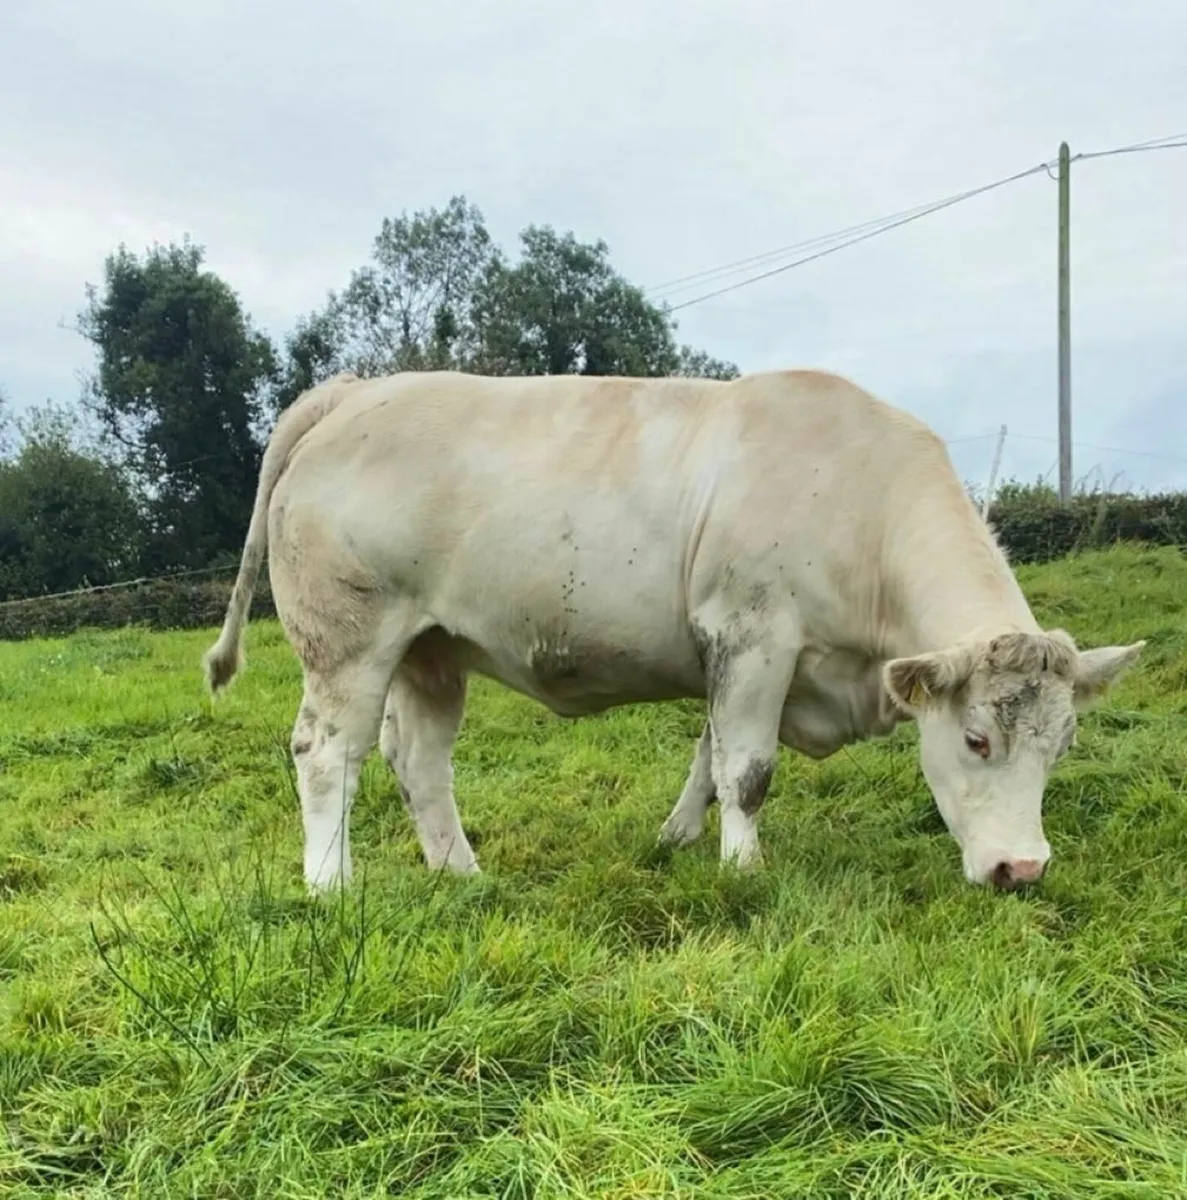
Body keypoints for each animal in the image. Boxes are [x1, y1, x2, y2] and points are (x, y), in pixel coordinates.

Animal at [202, 367, 1144, 895]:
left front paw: (677, 840)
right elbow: (748, 771)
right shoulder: (756, 634)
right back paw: (331, 886)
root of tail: (357, 390)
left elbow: (708, 756)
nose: (1022, 870)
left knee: (418, 762)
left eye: (1062, 746)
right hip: (349, 642)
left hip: (430, 649)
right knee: (328, 753)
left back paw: (462, 876)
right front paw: (742, 872)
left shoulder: (738, 657)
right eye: (977, 740)